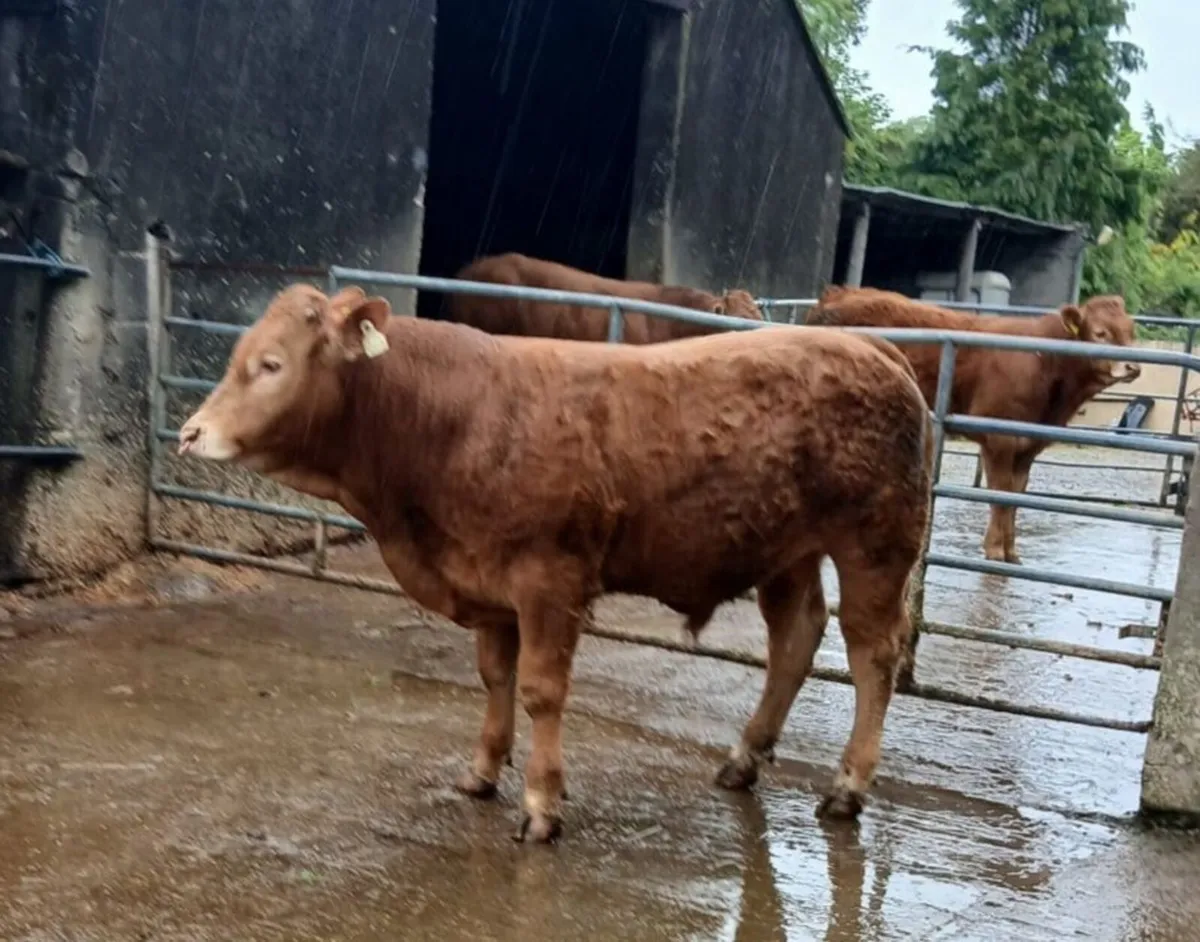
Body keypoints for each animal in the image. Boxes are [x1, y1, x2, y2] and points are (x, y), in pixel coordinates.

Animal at [177, 283, 932, 843]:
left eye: (271, 364)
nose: (189, 433)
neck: (448, 419)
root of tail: (872, 345)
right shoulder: (485, 579)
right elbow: (494, 677)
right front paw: (482, 770)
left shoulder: (549, 580)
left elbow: (541, 689)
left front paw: (541, 804)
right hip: (786, 551)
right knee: (795, 640)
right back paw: (743, 759)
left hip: (876, 545)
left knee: (871, 654)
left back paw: (847, 786)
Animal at [807, 286, 1140, 564]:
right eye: (1100, 333)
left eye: (1130, 332)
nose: (1133, 366)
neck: (1045, 363)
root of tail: (838, 293)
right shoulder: (999, 438)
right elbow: (999, 496)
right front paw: (994, 550)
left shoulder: (1028, 446)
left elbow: (1015, 497)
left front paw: (1012, 552)